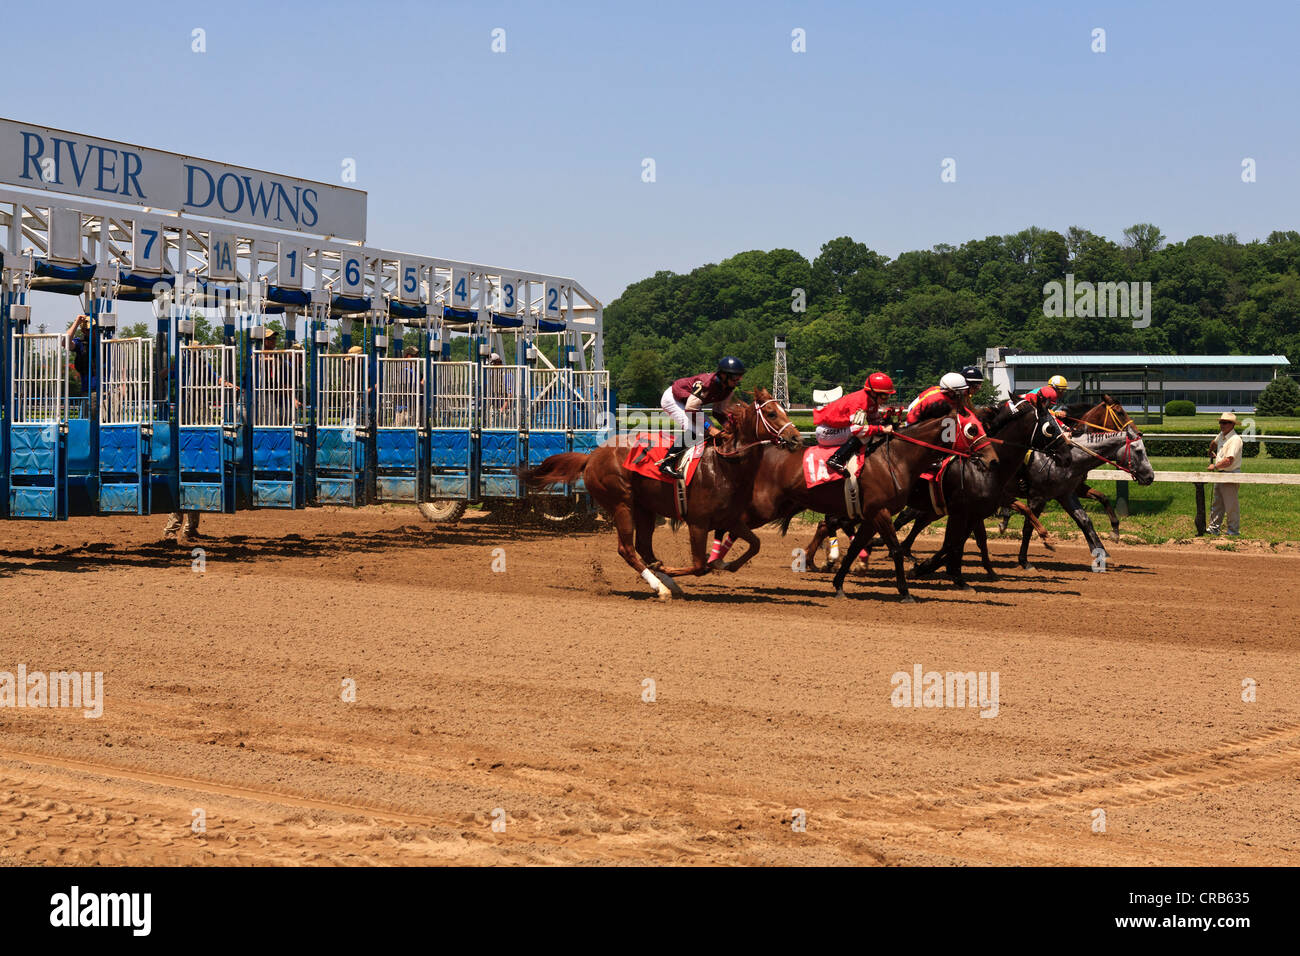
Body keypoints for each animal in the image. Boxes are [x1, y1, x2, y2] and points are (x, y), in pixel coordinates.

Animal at [520, 387, 800, 598]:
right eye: (772, 413)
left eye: (784, 410)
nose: (797, 438)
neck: (724, 465)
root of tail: (591, 457)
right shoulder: (697, 523)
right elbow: (699, 566)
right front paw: (683, 569)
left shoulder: (731, 519)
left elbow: (755, 544)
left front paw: (724, 563)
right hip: (622, 504)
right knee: (627, 549)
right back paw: (661, 587)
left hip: (645, 509)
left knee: (644, 548)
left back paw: (666, 581)